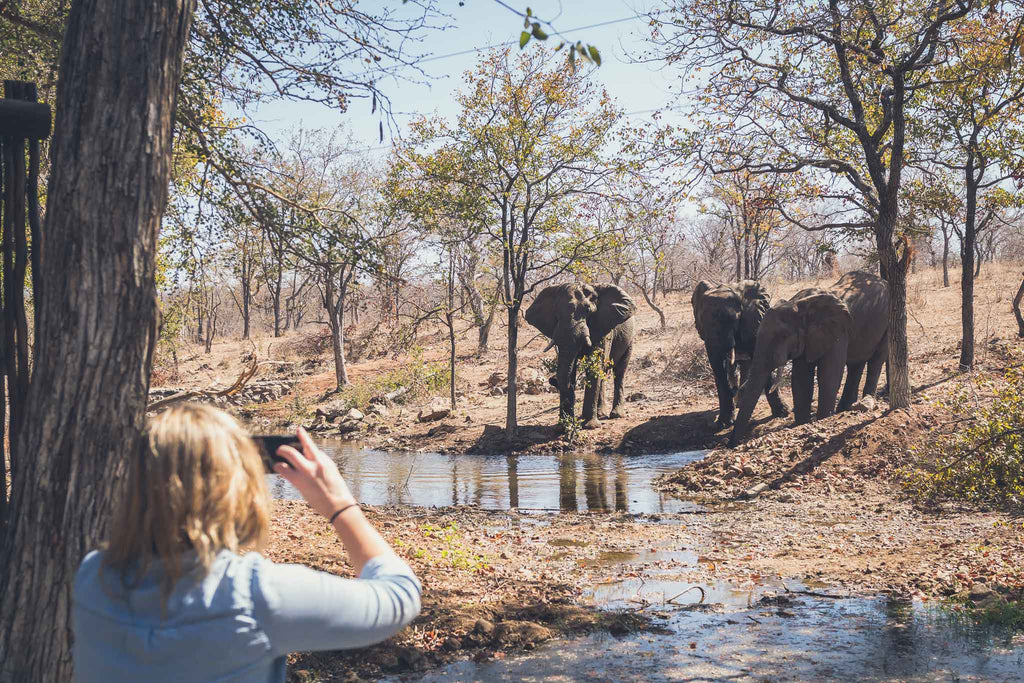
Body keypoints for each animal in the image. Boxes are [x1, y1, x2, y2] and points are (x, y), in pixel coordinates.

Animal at [524, 283, 636, 430]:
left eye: (588, 310)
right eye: (556, 312)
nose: (552, 380)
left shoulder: (603, 327)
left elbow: (595, 365)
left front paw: (590, 426)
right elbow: (569, 365)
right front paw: (563, 427)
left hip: (630, 338)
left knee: (619, 371)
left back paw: (616, 415)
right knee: (604, 373)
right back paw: (599, 414)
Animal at [692, 280, 790, 428]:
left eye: (734, 319)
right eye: (702, 320)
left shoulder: (753, 322)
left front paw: (783, 413)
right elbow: (719, 368)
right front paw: (724, 423)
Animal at [729, 270, 890, 446]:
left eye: (784, 336)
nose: (731, 444)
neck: (799, 305)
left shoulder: (838, 330)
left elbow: (829, 374)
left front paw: (823, 419)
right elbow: (801, 377)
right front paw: (802, 423)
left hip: (888, 321)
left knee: (876, 360)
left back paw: (865, 402)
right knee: (856, 364)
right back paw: (844, 408)